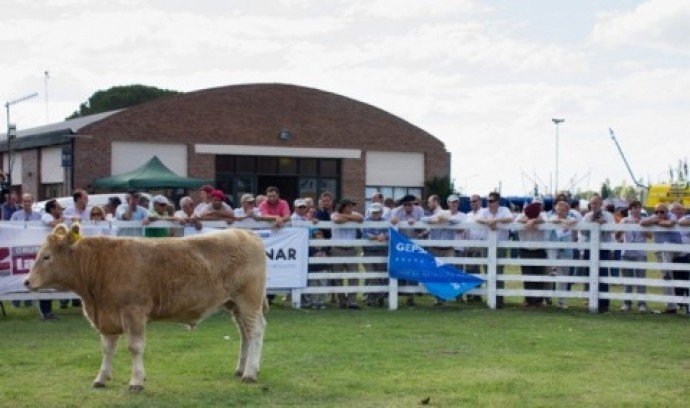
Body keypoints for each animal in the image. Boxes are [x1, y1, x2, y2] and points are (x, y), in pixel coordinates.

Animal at [24, 223, 268, 392]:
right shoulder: (108, 316)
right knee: (244, 333)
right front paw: (101, 378)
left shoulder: (133, 312)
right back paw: (241, 368)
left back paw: (250, 373)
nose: (26, 282)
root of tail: (245, 232)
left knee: (255, 330)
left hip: (249, 300)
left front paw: (136, 381)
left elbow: (134, 347)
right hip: (235, 304)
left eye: (46, 256)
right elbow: (107, 349)